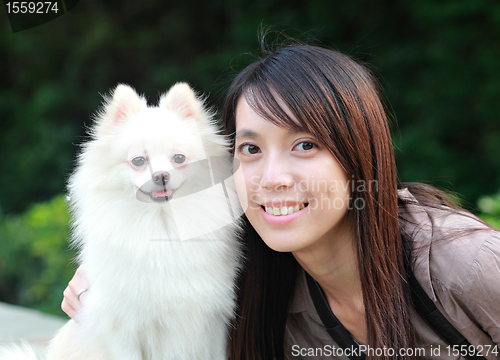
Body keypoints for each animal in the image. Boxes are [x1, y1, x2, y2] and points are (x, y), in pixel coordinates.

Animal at [0, 83, 242, 358]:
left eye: (179, 158)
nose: (161, 175)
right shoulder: (124, 329)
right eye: (138, 161)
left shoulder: (215, 325)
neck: (162, 225)